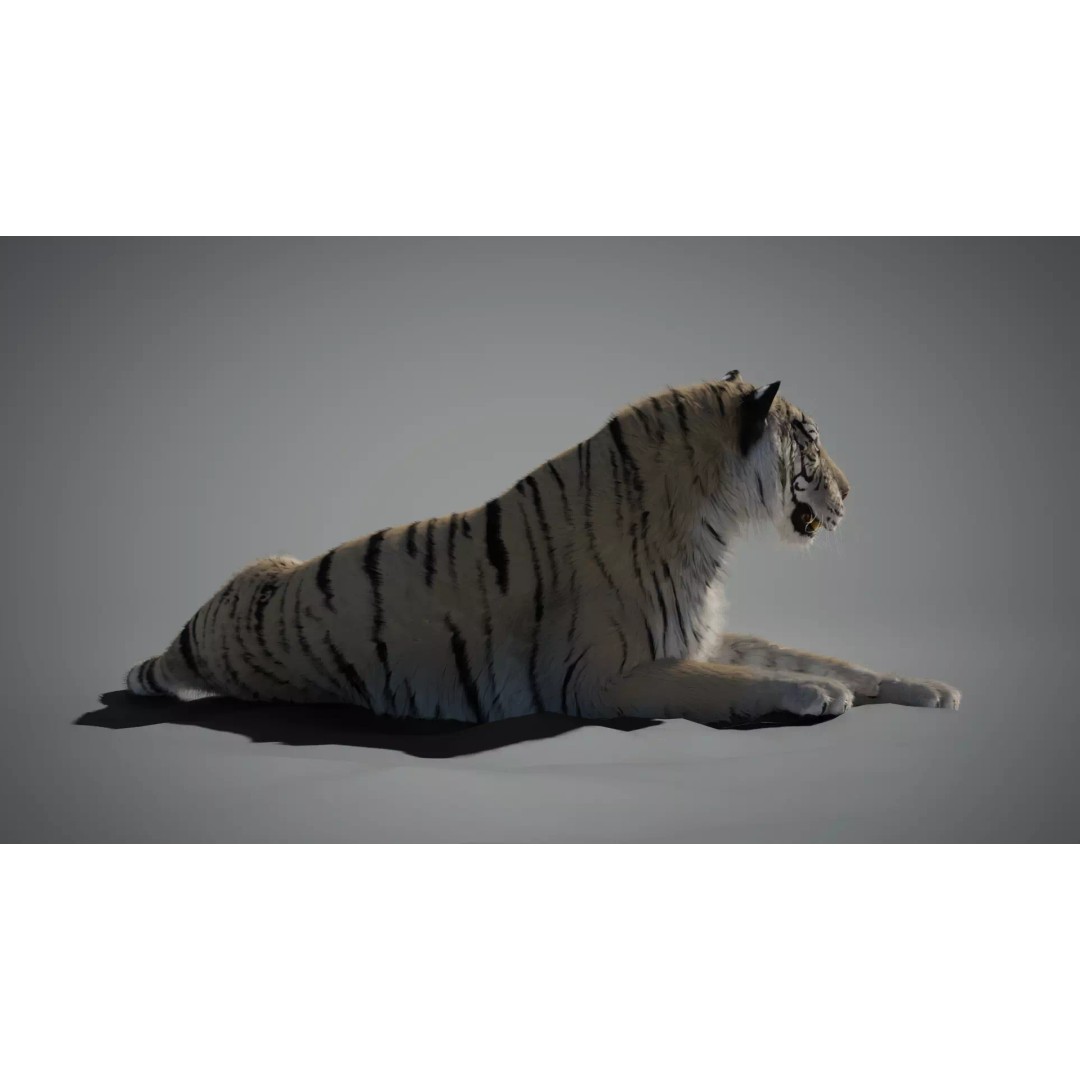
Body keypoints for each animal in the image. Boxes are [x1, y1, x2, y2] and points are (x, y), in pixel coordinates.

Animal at [125, 372, 961, 726]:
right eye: (811, 442)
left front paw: (926, 687)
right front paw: (814, 696)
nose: (853, 491)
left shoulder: (697, 631)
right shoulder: (601, 678)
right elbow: (731, 680)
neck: (711, 523)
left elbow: (819, 655)